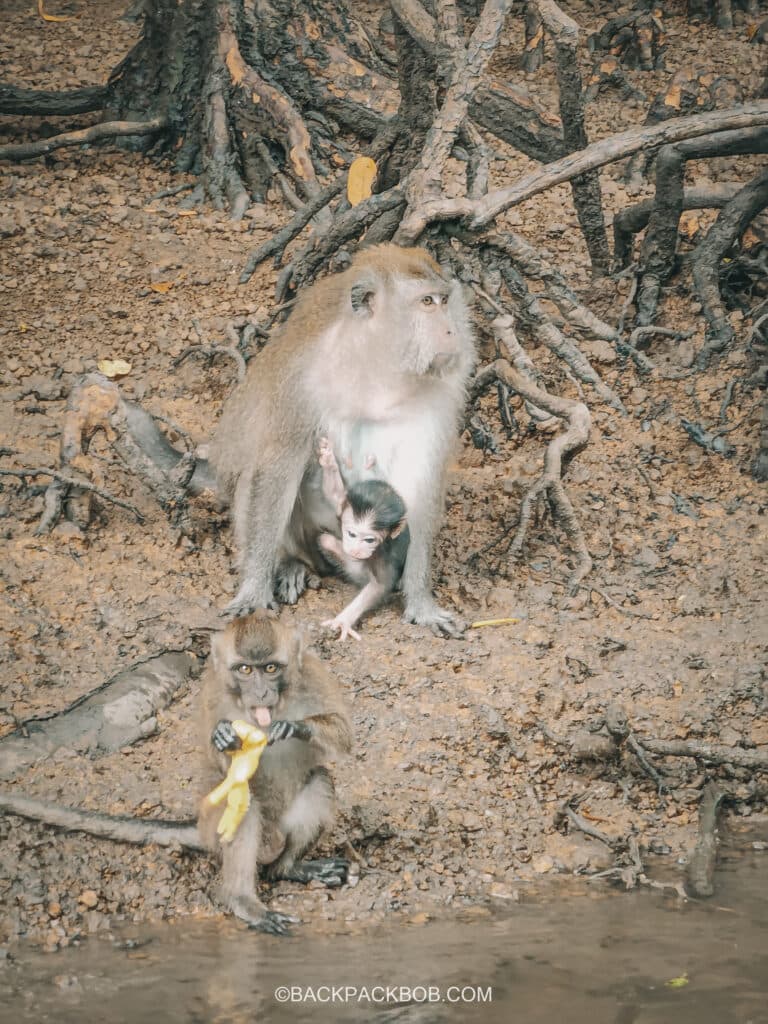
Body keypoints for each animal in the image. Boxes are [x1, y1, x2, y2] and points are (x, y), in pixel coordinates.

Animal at [0, 614, 352, 937]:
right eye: (245, 670)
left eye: (270, 669)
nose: (262, 694)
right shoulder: (212, 689)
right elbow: (216, 760)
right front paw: (222, 738)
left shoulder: (313, 674)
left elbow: (343, 733)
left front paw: (295, 727)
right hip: (217, 828)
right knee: (243, 805)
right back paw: (243, 901)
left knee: (318, 781)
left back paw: (288, 868)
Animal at [316, 436, 409, 641]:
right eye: (351, 534)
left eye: (369, 540)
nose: (357, 550)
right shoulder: (344, 505)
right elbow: (335, 496)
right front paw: (329, 459)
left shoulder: (383, 556)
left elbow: (379, 586)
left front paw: (343, 620)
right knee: (325, 540)